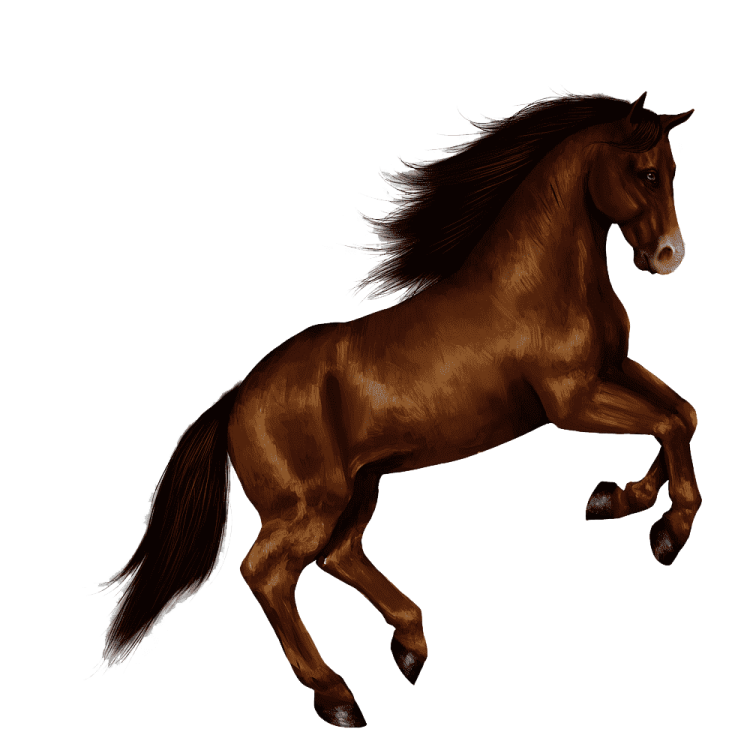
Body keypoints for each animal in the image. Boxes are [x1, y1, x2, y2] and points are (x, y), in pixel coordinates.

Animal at [90, 89, 698, 728]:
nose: (670, 256)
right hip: (309, 504)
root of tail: (234, 400)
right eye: (645, 173)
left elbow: (683, 415)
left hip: (361, 485)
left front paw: (618, 501)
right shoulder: (573, 399)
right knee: (267, 573)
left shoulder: (615, 370)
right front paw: (669, 532)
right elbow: (666, 423)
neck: (538, 286)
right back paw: (336, 695)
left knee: (338, 555)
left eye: (672, 171)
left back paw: (409, 645)